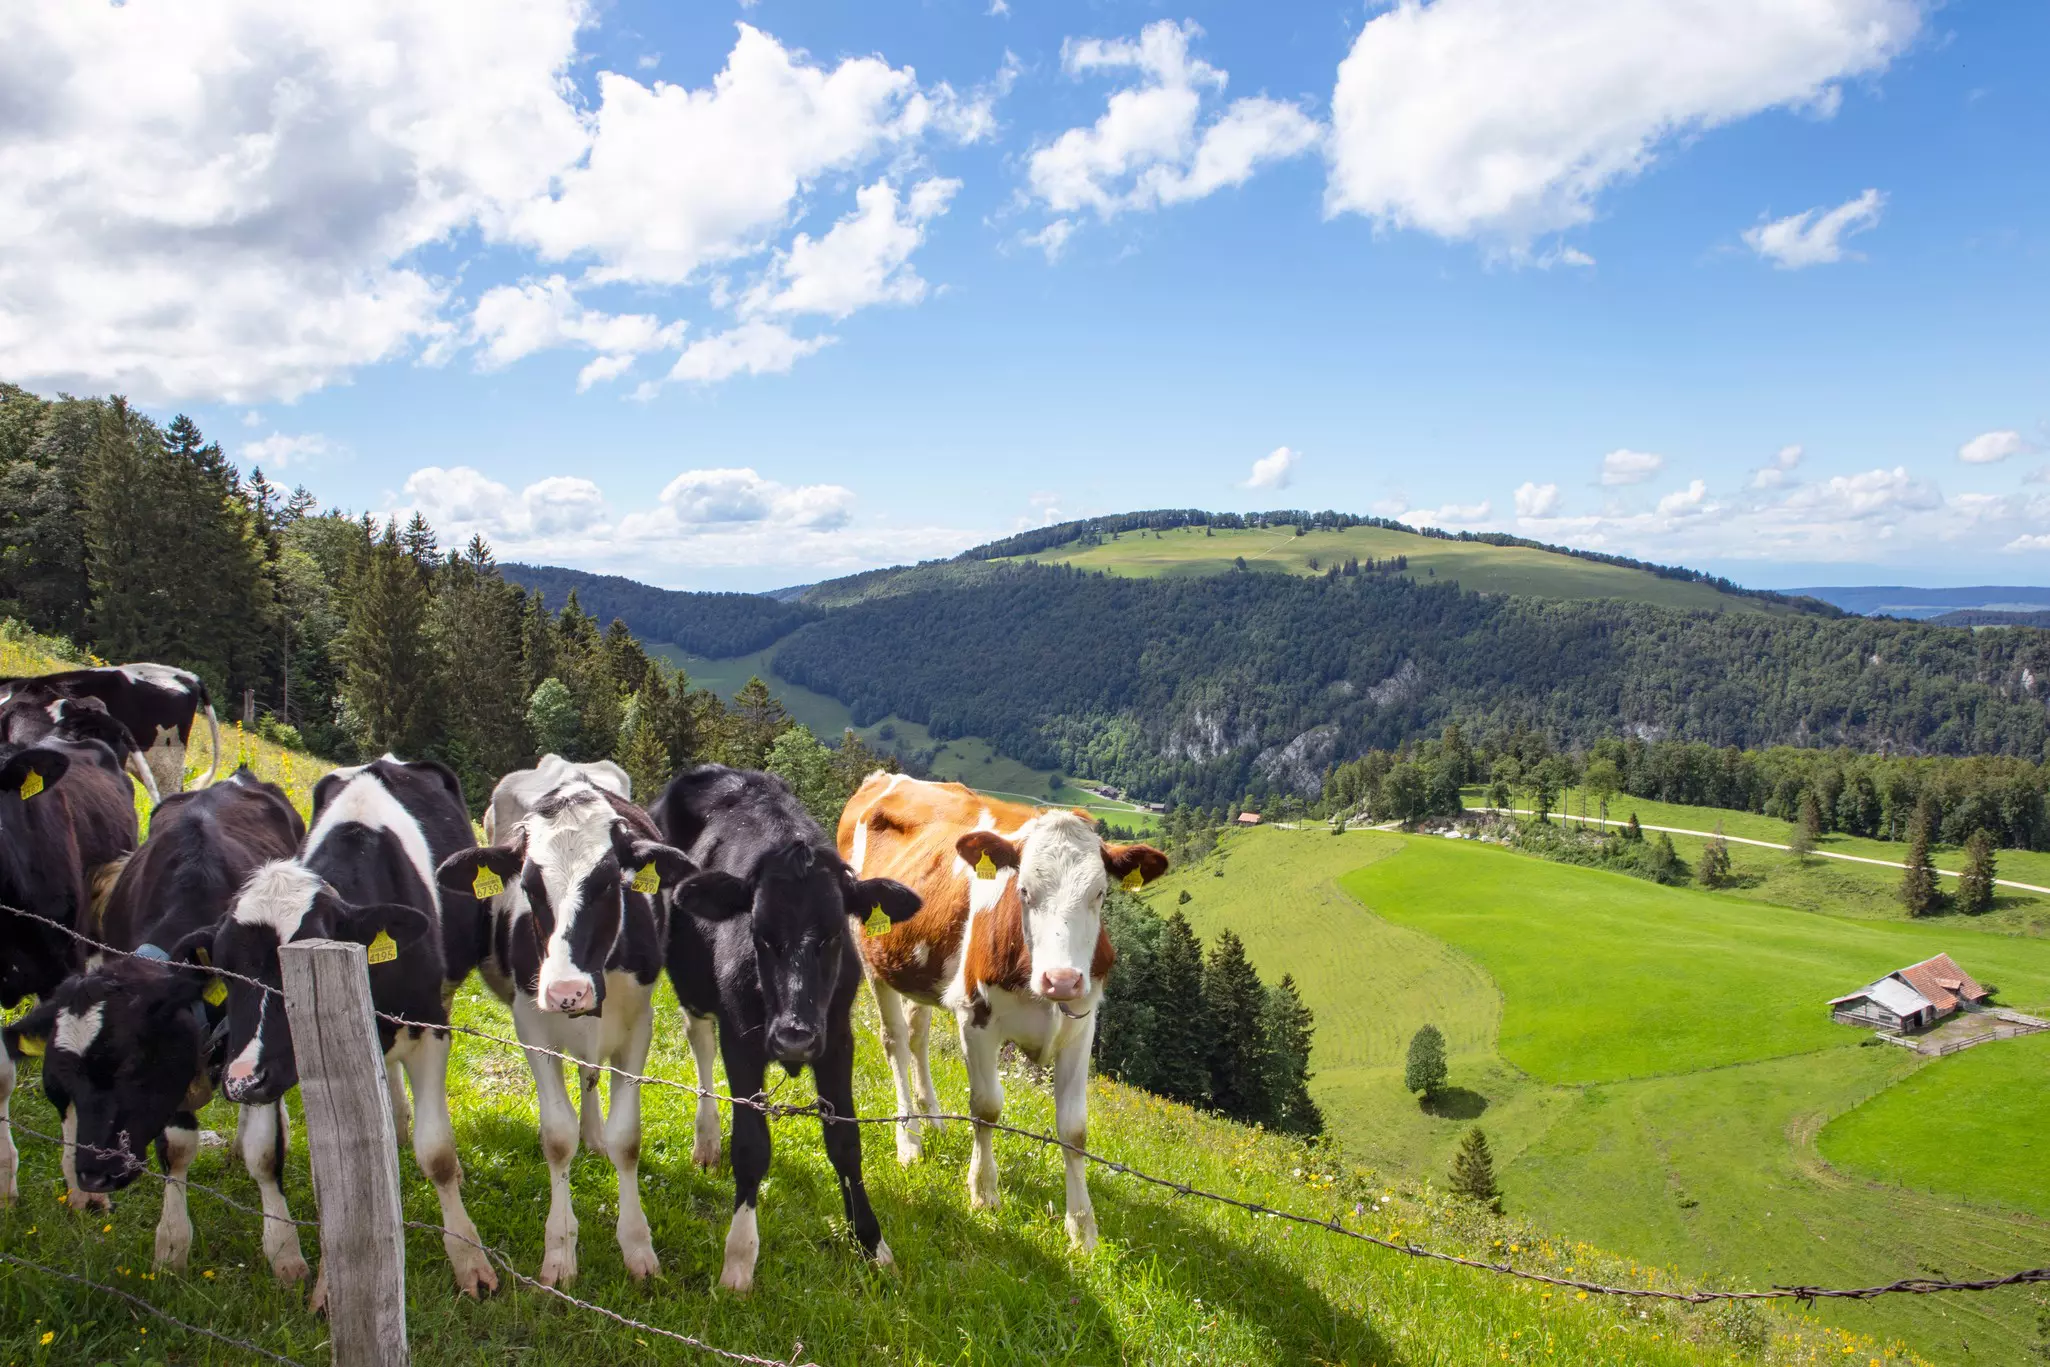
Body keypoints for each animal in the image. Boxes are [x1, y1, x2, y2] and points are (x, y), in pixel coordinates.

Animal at [213, 757, 495, 1302]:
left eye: (297, 959)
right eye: (225, 969)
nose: (241, 1081)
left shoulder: (430, 1025)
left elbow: (437, 1152)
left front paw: (469, 1258)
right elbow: (278, 1158)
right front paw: (301, 1264)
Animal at [437, 772, 692, 1287]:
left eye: (609, 883)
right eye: (529, 886)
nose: (565, 991)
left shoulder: (639, 1025)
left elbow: (626, 1139)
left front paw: (637, 1245)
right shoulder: (530, 1023)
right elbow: (557, 1137)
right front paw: (559, 1251)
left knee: (591, 1074)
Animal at [651, 764, 922, 1293]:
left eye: (835, 933)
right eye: (759, 933)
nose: (794, 1037)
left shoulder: (836, 1039)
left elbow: (846, 1142)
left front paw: (872, 1244)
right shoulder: (741, 1039)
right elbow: (751, 1146)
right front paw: (739, 1258)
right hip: (689, 981)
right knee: (698, 1042)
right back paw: (706, 1141)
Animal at [839, 774, 1167, 1250]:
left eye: (1100, 893)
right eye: (1024, 890)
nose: (1062, 979)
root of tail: (885, 777)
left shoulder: (1082, 1025)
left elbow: (1075, 1130)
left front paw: (1082, 1228)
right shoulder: (976, 1016)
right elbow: (987, 1107)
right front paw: (983, 1192)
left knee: (917, 1035)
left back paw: (932, 1117)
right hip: (870, 953)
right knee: (895, 1039)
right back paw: (910, 1139)